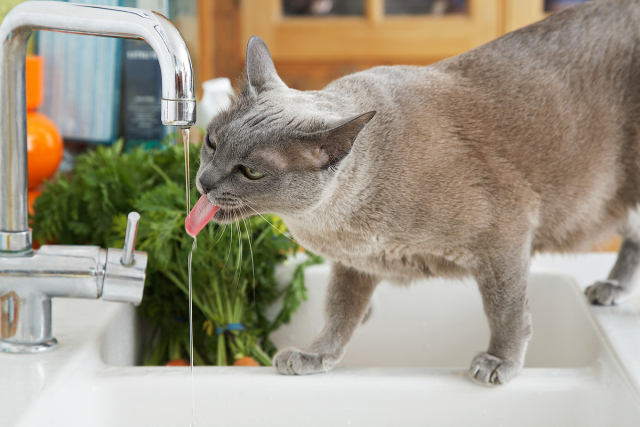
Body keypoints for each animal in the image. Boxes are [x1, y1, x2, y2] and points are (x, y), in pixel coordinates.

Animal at [196, 0, 640, 388]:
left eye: (251, 172)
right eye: (212, 142)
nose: (204, 182)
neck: (335, 223)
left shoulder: (505, 238)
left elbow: (505, 310)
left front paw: (499, 362)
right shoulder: (355, 264)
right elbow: (339, 313)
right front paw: (315, 355)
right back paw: (610, 288)